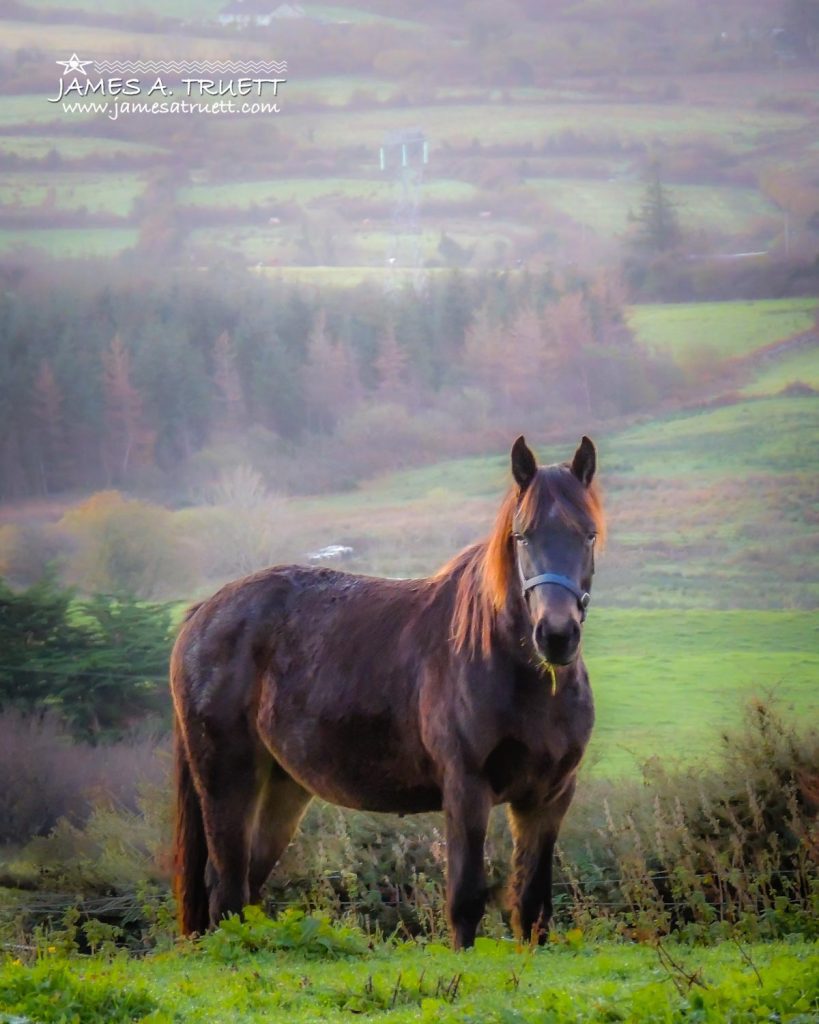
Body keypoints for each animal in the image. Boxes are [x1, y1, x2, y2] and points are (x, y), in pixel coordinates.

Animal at [173, 436, 606, 946]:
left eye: (588, 534)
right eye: (523, 536)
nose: (556, 635)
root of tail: (203, 612)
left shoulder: (548, 798)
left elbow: (533, 907)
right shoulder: (466, 789)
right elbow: (466, 901)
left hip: (284, 787)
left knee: (246, 887)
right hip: (227, 780)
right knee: (225, 889)